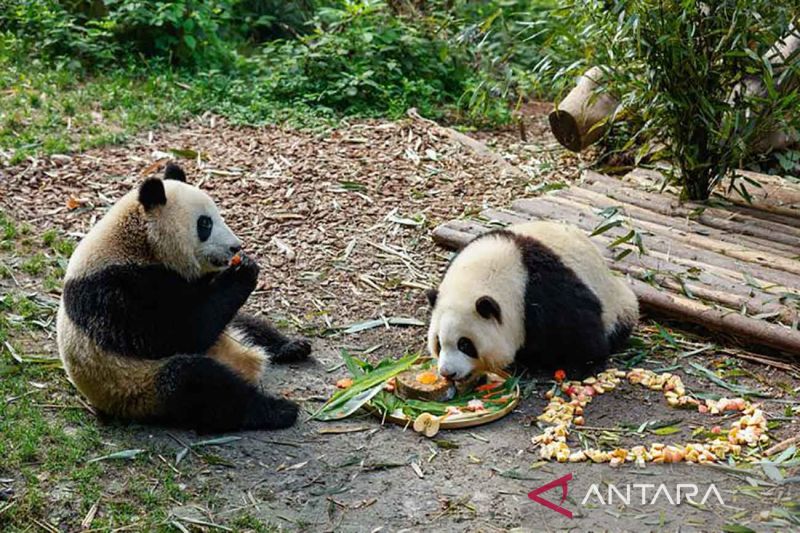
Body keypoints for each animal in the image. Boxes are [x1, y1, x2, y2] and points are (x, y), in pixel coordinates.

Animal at [56, 163, 311, 433]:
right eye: (205, 224)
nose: (235, 247)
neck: (137, 244)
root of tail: (246, 360)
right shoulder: (113, 292)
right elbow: (181, 331)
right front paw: (243, 270)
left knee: (248, 324)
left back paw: (291, 347)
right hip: (139, 387)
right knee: (197, 384)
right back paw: (279, 410)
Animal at [426, 221, 638, 381]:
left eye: (465, 344)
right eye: (438, 343)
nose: (447, 373)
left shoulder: (542, 289)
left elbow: (580, 325)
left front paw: (584, 365)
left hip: (617, 302)